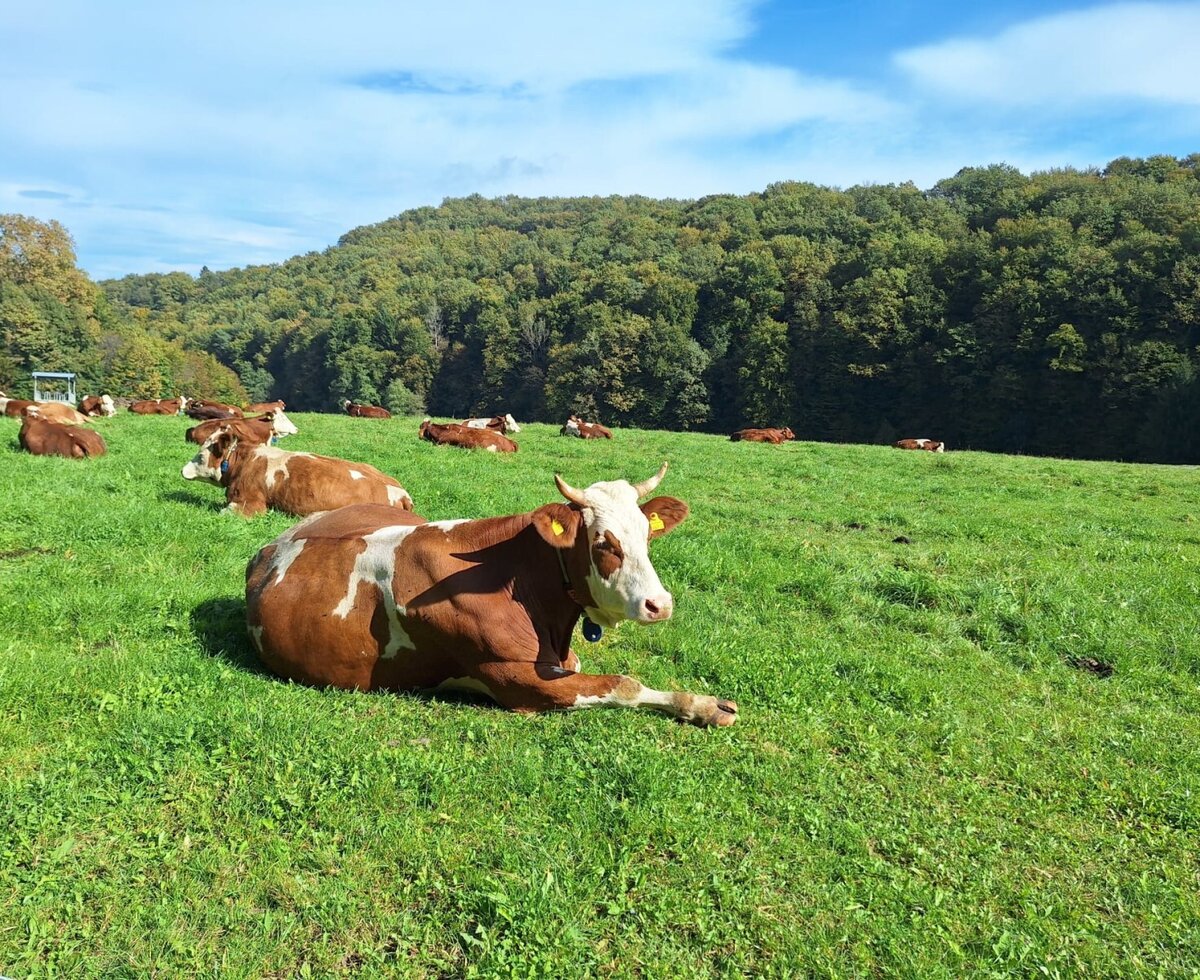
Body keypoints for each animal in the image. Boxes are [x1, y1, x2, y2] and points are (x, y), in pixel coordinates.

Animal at [244, 463, 737, 726]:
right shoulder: (518, 680)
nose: (660, 605)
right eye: (604, 544)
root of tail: (274, 543)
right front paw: (702, 704)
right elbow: (624, 683)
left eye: (647, 536)